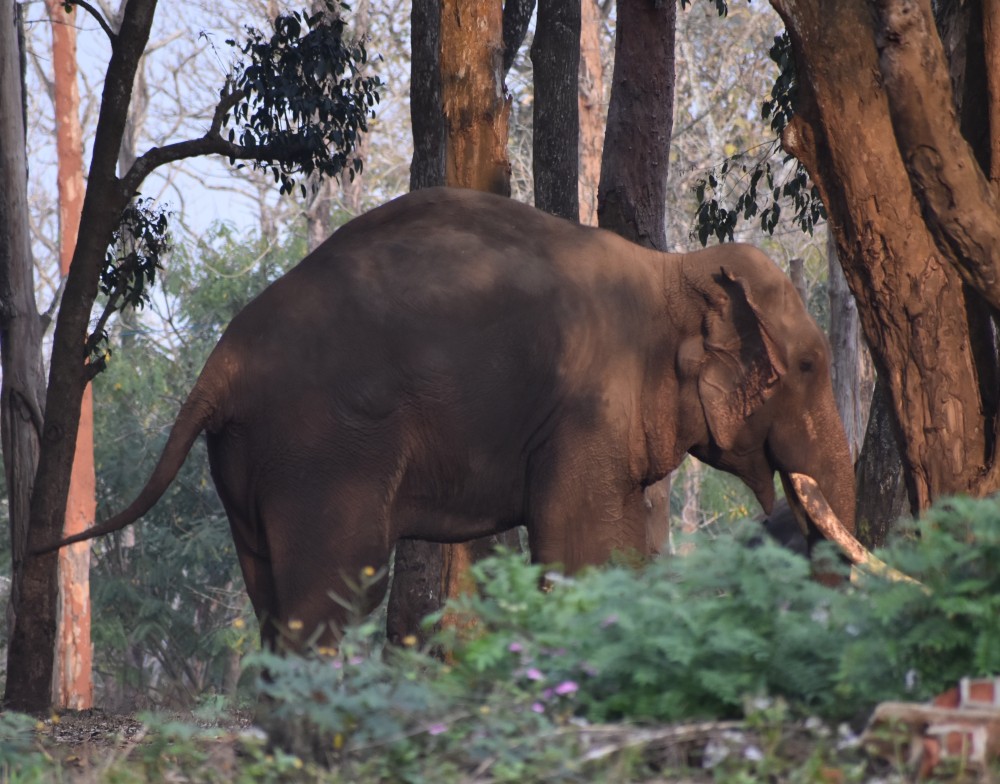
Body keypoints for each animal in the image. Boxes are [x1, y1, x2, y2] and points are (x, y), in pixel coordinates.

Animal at [45, 185, 876, 648]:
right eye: (808, 367)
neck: (671, 269)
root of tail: (219, 366)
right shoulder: (588, 407)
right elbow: (582, 548)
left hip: (247, 457)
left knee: (270, 591)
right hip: (322, 447)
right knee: (336, 588)